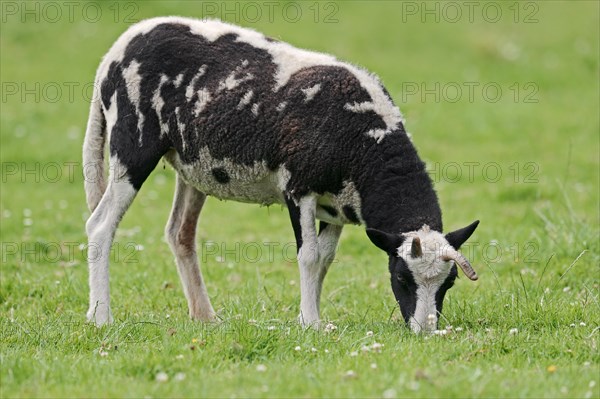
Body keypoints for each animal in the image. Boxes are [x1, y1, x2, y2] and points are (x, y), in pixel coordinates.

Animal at [83, 17, 478, 332]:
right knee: (100, 226)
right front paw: (311, 323)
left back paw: (205, 317)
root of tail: (115, 51)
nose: (426, 331)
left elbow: (325, 258)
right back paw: (101, 317)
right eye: (401, 277)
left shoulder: (337, 206)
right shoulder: (298, 187)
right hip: (132, 146)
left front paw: (311, 317)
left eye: (449, 284)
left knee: (180, 233)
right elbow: (309, 256)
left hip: (191, 165)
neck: (364, 145)